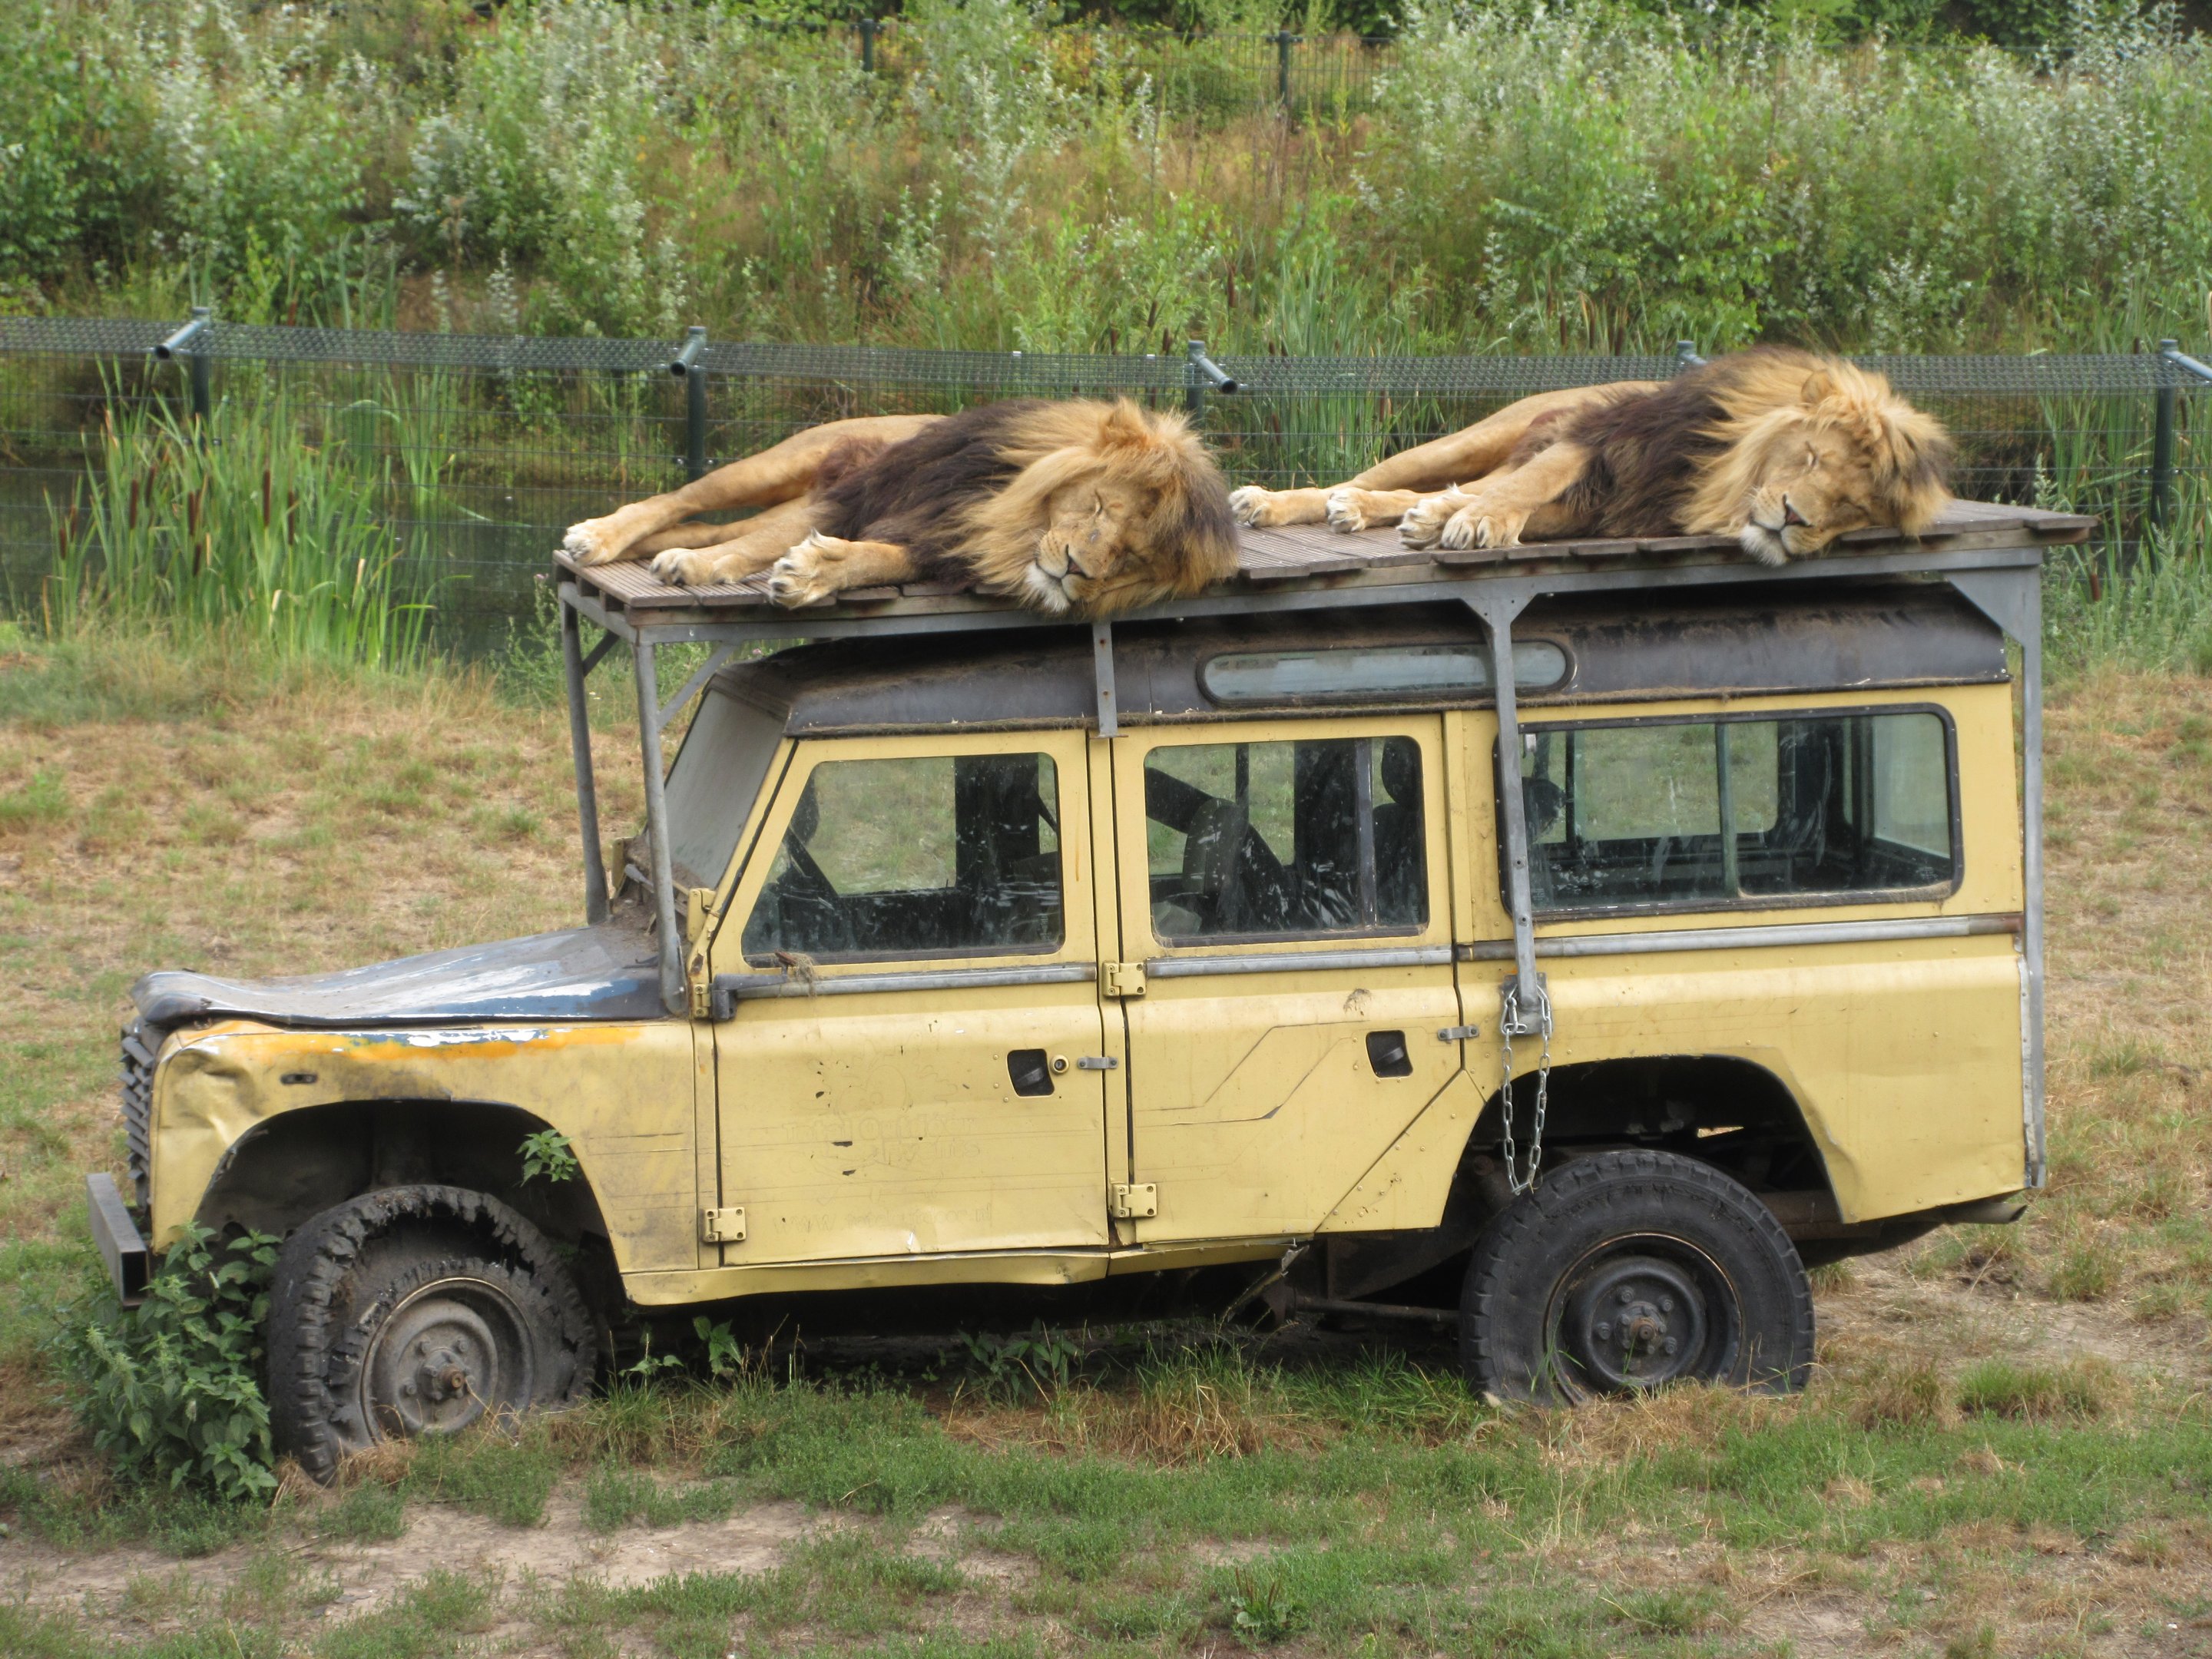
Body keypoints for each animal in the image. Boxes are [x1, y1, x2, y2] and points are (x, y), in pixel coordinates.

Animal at [561, 398, 1239, 615]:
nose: (1075, 568)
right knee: (681, 500)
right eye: (1099, 506)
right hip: (778, 466)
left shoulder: (936, 542)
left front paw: (812, 573)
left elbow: (877, 560)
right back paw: (596, 536)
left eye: (1130, 558)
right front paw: (699, 571)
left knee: (707, 525)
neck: (1005, 522)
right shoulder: (862, 497)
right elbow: (750, 546)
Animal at [1228, 348, 1952, 566]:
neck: (1715, 480)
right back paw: (1275, 503)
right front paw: (1475, 524)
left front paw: (1447, 521)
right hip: (1474, 437)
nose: (1795, 519)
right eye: (1808, 459)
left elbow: (1515, 504)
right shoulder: (1598, 438)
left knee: (1424, 489)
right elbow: (1525, 486)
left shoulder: (1606, 510)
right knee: (1364, 478)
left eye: (1851, 508)